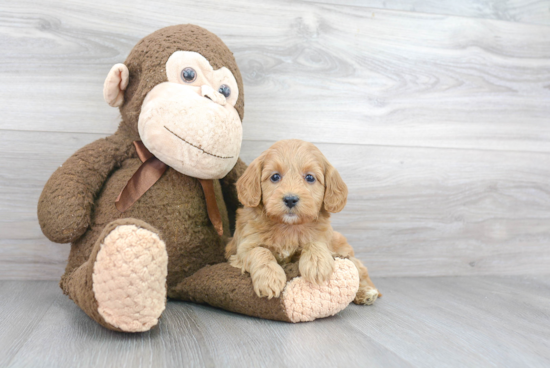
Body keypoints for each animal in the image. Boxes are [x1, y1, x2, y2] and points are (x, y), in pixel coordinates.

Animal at [226, 139, 382, 304]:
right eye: (275, 177)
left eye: (310, 178)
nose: (290, 199)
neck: (288, 227)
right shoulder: (242, 249)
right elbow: (259, 251)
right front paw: (269, 278)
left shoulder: (321, 239)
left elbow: (314, 243)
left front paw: (317, 264)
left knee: (359, 271)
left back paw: (365, 292)